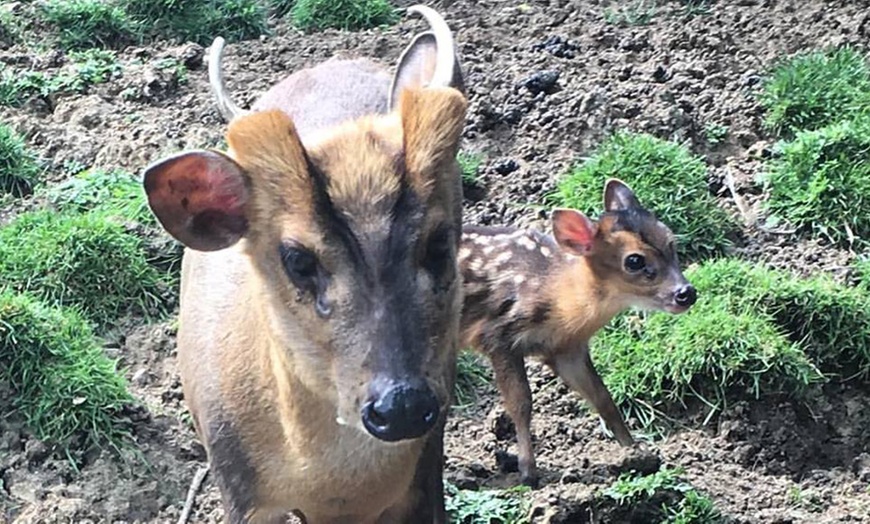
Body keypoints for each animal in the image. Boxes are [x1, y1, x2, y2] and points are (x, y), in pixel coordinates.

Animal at [143, 6, 470, 520]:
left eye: (438, 242)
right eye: (297, 259)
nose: (399, 406)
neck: (336, 490)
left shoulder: (425, 469)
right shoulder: (240, 488)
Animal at [460, 180, 700, 488]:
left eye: (671, 241)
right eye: (634, 261)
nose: (686, 293)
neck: (559, 300)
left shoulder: (568, 350)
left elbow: (603, 399)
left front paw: (636, 453)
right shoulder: (498, 336)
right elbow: (521, 403)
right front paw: (528, 472)